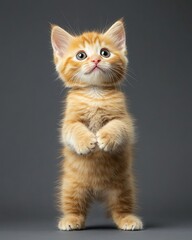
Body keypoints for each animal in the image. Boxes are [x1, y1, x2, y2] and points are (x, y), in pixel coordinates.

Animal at [50, 19, 143, 231]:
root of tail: (98, 191)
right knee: (74, 206)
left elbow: (117, 125)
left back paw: (128, 219)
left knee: (120, 207)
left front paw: (105, 137)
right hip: (71, 187)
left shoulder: (126, 122)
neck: (95, 93)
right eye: (81, 55)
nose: (95, 60)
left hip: (123, 187)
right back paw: (71, 220)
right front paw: (86, 141)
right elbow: (74, 130)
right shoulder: (68, 123)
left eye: (105, 52)